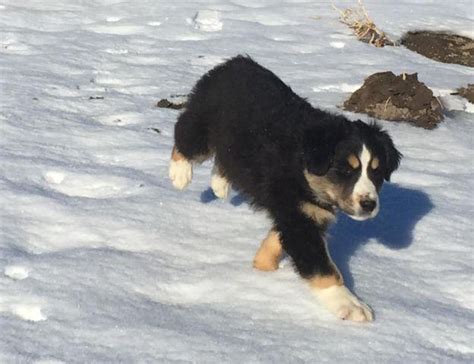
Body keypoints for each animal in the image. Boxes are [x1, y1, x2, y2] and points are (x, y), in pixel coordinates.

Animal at [169, 55, 400, 322]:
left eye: (376, 172)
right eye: (345, 170)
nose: (369, 204)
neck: (303, 164)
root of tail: (234, 61)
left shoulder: (304, 212)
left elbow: (276, 239)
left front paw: (262, 265)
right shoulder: (299, 216)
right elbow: (322, 266)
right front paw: (350, 305)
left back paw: (220, 184)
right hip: (203, 125)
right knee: (184, 135)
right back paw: (180, 173)